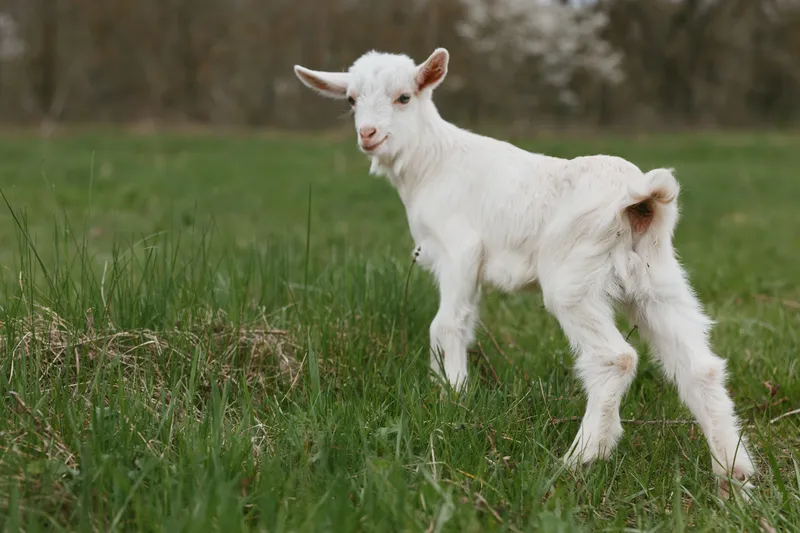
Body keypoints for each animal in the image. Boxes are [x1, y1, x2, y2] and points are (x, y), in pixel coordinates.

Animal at [293, 48, 755, 497]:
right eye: (351, 100)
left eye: (404, 97)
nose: (368, 134)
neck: (434, 161)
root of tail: (640, 200)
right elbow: (462, 323)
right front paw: (450, 392)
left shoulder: (460, 251)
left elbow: (445, 325)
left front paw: (452, 398)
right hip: (658, 281)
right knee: (700, 367)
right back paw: (734, 475)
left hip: (573, 281)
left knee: (615, 359)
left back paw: (579, 459)